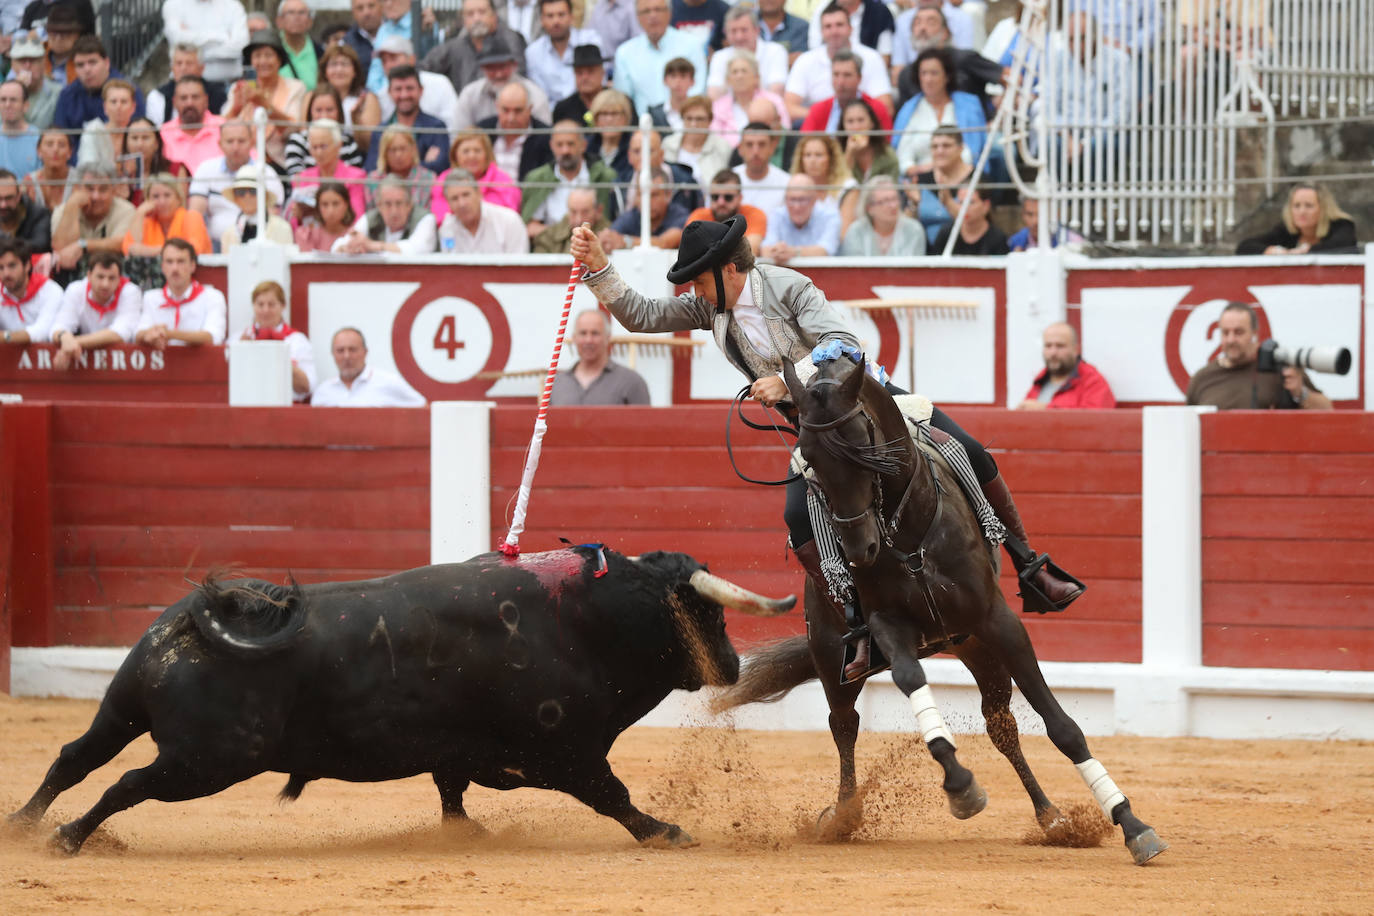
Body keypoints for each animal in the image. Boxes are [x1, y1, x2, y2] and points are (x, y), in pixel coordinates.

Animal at [5, 543, 796, 851]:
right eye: (709, 616)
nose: (732, 664)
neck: (588, 619)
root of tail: (200, 615)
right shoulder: (566, 752)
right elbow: (616, 797)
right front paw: (666, 830)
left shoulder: (463, 750)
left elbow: (450, 791)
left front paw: (464, 833)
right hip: (205, 761)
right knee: (127, 783)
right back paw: (69, 838)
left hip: (123, 710)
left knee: (74, 757)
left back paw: (24, 823)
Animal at [714, 357, 1165, 867]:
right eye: (807, 454)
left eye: (860, 442)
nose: (859, 550)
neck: (907, 531)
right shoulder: (887, 626)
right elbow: (911, 680)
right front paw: (961, 785)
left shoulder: (998, 622)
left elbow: (1062, 726)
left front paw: (1132, 824)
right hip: (830, 656)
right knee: (844, 724)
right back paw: (844, 815)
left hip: (976, 646)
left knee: (1001, 725)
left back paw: (1050, 816)